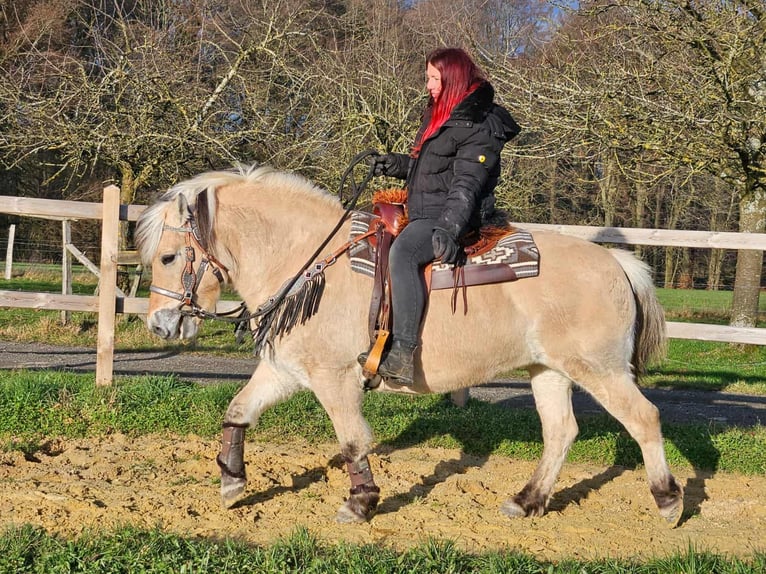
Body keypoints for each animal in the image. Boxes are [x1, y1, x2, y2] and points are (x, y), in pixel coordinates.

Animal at [135, 163, 683, 526]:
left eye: (168, 257)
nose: (159, 326)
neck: (307, 259)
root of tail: (616, 263)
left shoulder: (334, 378)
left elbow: (353, 440)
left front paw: (360, 502)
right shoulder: (286, 370)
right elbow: (237, 410)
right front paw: (231, 482)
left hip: (600, 369)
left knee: (644, 419)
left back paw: (668, 500)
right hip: (548, 370)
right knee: (561, 432)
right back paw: (527, 501)